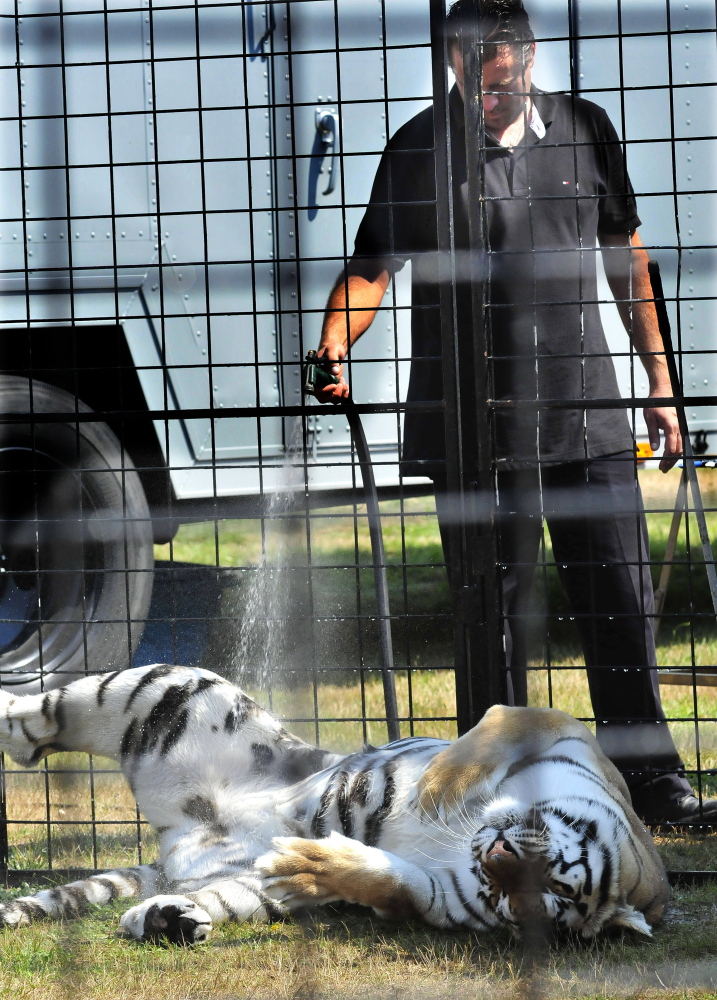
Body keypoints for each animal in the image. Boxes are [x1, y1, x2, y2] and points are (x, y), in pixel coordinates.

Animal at [0, 668, 664, 940]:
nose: (492, 856)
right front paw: (437, 789)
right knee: (40, 715)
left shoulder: (441, 896)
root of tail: (174, 846)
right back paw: (11, 713)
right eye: (554, 875)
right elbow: (487, 738)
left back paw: (168, 921)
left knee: (180, 904)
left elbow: (397, 884)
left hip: (244, 885)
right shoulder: (564, 729)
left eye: (531, 896)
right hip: (176, 692)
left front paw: (324, 866)